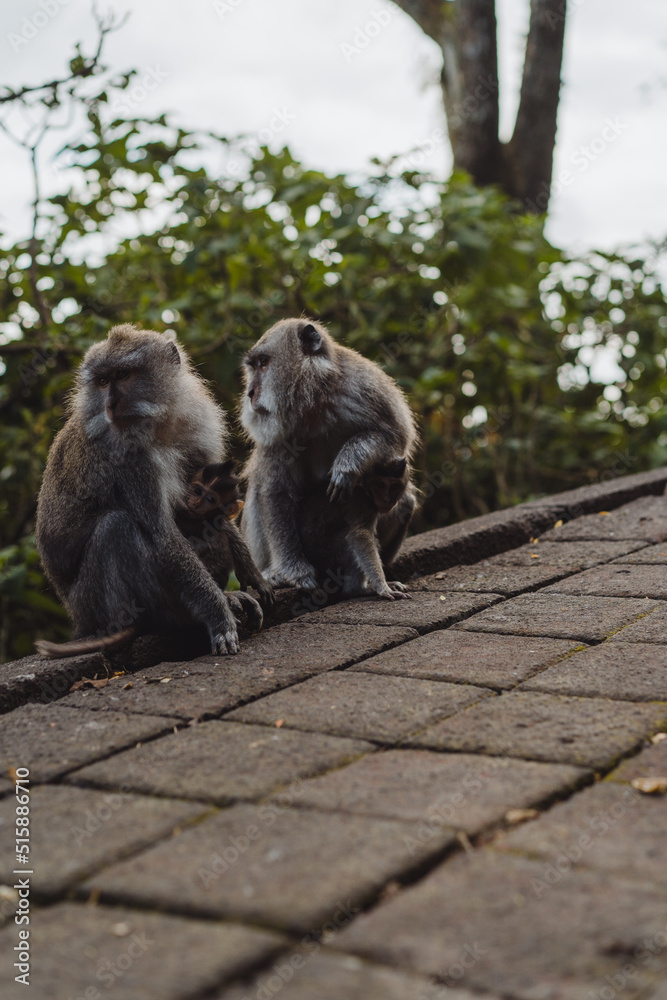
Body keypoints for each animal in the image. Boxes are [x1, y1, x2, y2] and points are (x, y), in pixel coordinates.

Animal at [34, 323, 255, 660]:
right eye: (102, 382)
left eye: (123, 375)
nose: (110, 404)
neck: (159, 425)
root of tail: (76, 618)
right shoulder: (132, 461)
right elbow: (162, 534)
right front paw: (218, 614)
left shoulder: (197, 429)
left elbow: (218, 518)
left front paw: (254, 576)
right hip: (89, 604)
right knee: (115, 527)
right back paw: (163, 618)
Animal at [299, 457, 413, 600]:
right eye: (380, 485)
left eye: (395, 487)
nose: (387, 499)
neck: (365, 487)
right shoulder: (361, 501)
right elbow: (360, 535)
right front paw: (382, 587)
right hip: (323, 555)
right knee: (349, 543)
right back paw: (356, 590)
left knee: (408, 502)